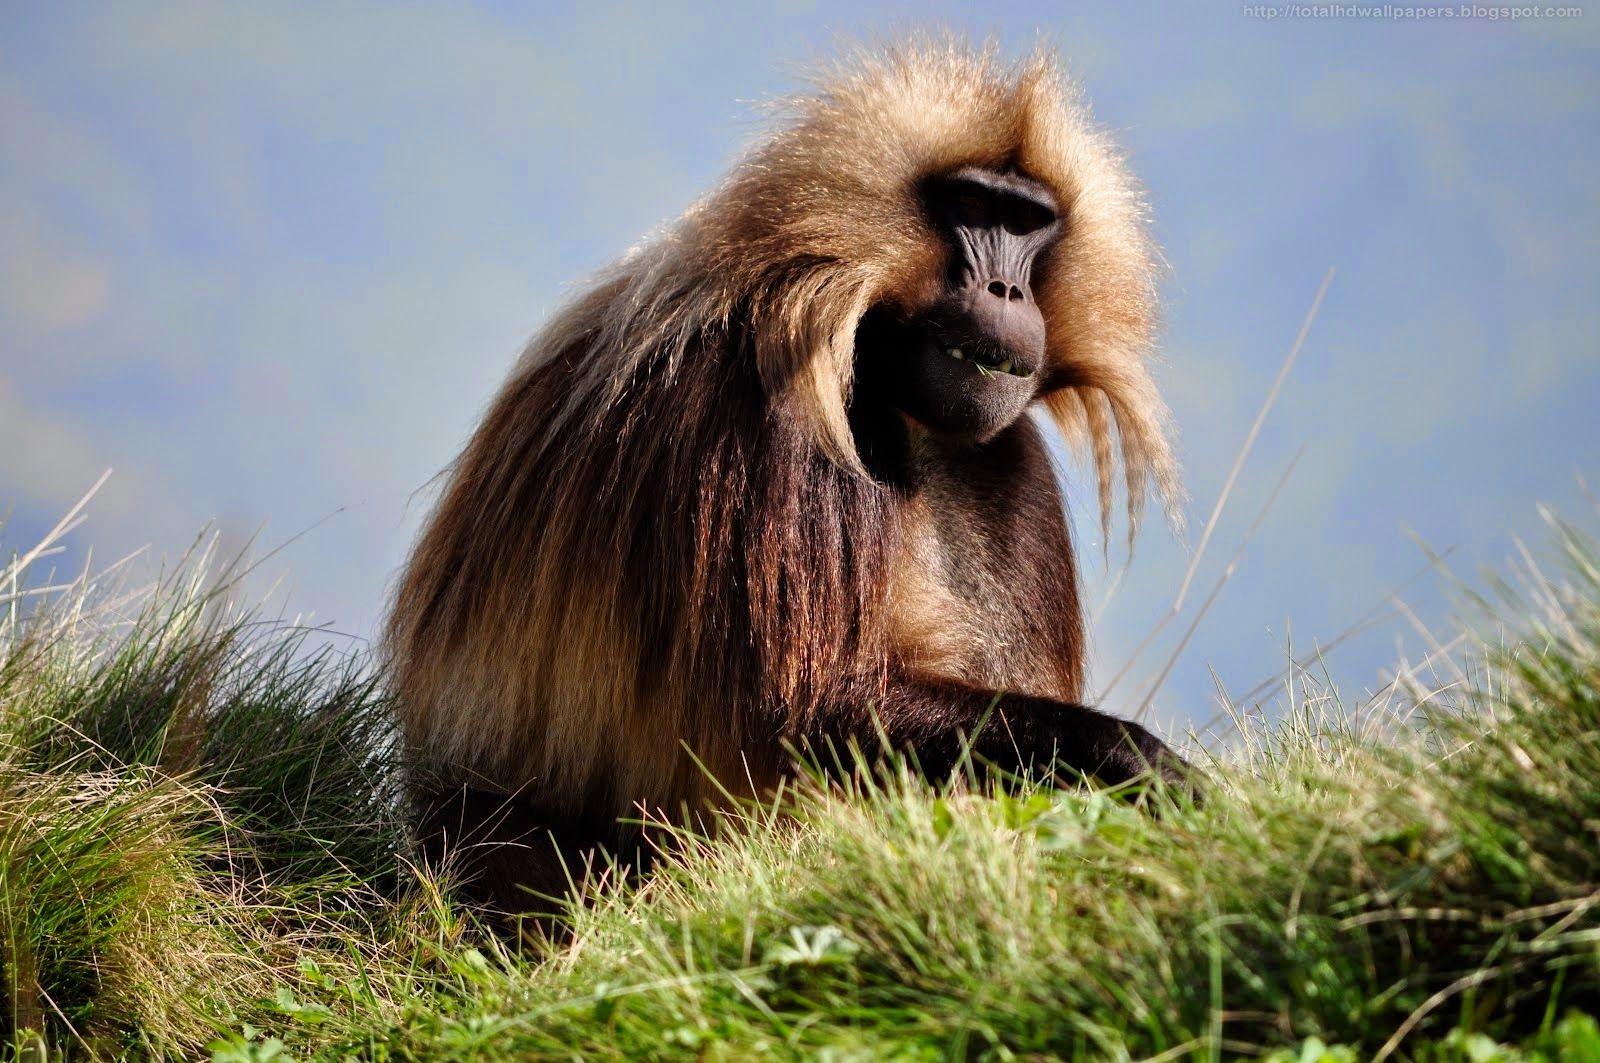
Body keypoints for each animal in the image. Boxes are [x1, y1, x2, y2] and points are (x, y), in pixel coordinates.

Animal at [384, 40, 1192, 916]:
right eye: (973, 206)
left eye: (1028, 222)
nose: (1005, 289)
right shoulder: (756, 408)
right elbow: (807, 708)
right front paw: (1135, 757)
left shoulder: (993, 447)